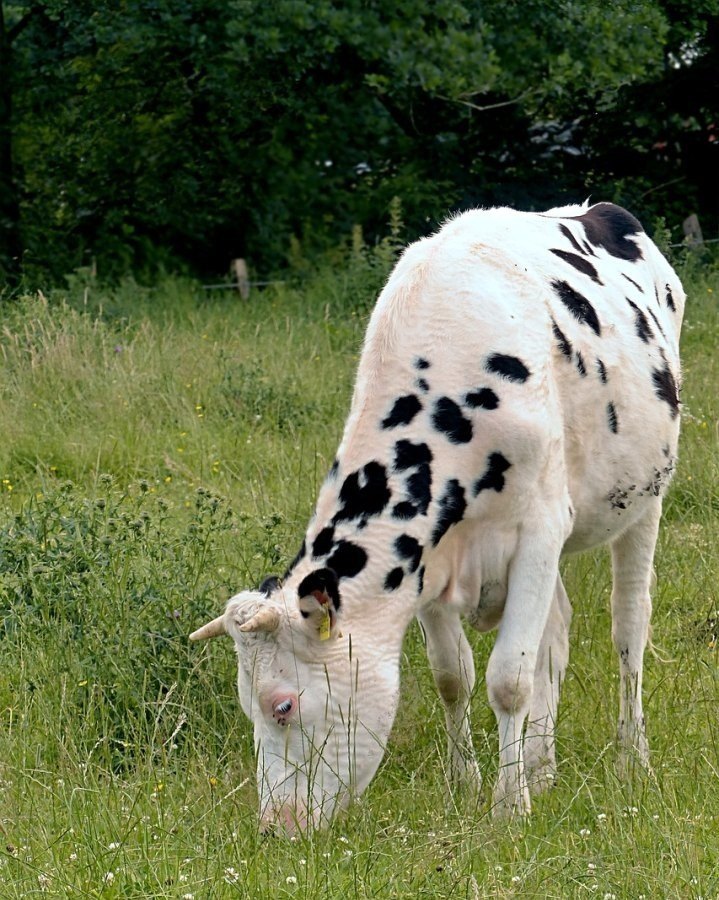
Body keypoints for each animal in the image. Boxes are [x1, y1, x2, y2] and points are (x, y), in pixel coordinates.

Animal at [191, 200, 688, 832]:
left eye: (282, 705)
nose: (277, 824)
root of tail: (594, 209)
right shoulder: (427, 557)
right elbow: (454, 674)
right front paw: (467, 782)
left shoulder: (540, 529)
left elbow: (509, 678)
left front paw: (509, 807)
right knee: (556, 631)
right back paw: (542, 767)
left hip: (644, 497)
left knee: (628, 625)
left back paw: (631, 758)